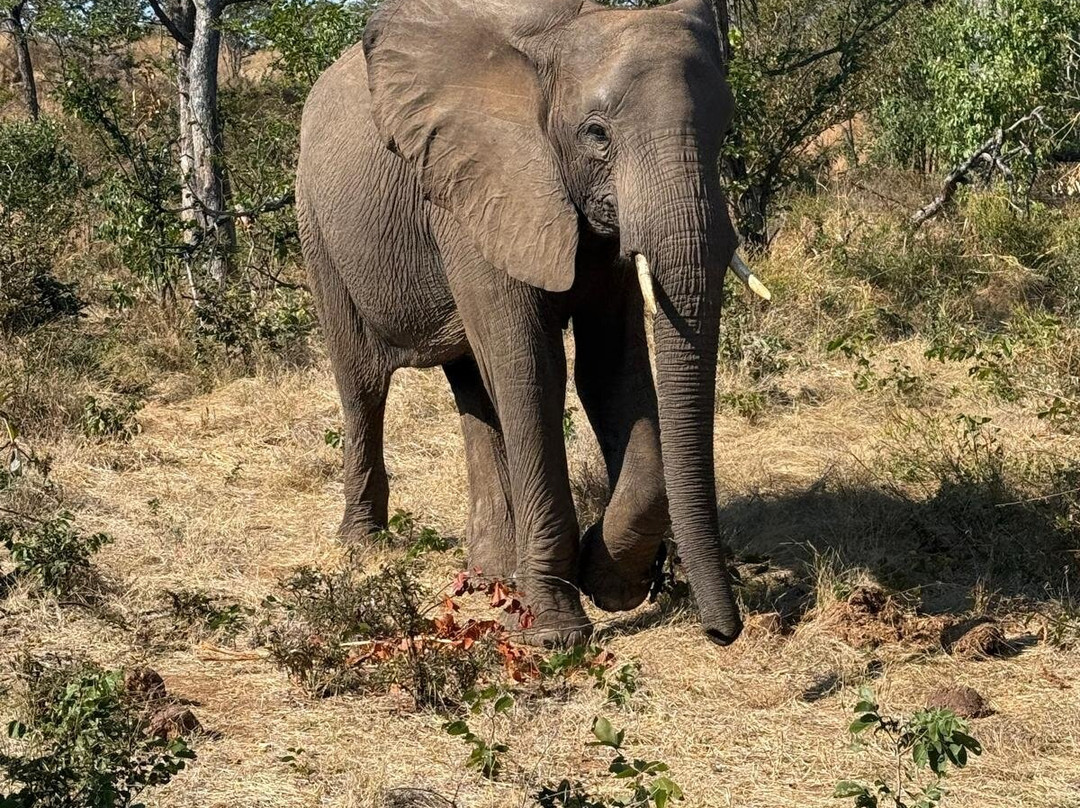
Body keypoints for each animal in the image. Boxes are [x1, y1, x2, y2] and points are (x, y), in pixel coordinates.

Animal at [296, 0, 770, 647]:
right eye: (597, 134)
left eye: (725, 132)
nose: (723, 633)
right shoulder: (475, 189)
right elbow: (531, 372)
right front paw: (557, 633)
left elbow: (611, 373)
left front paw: (611, 583)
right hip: (318, 229)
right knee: (365, 384)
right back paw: (364, 547)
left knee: (473, 385)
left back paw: (493, 573)